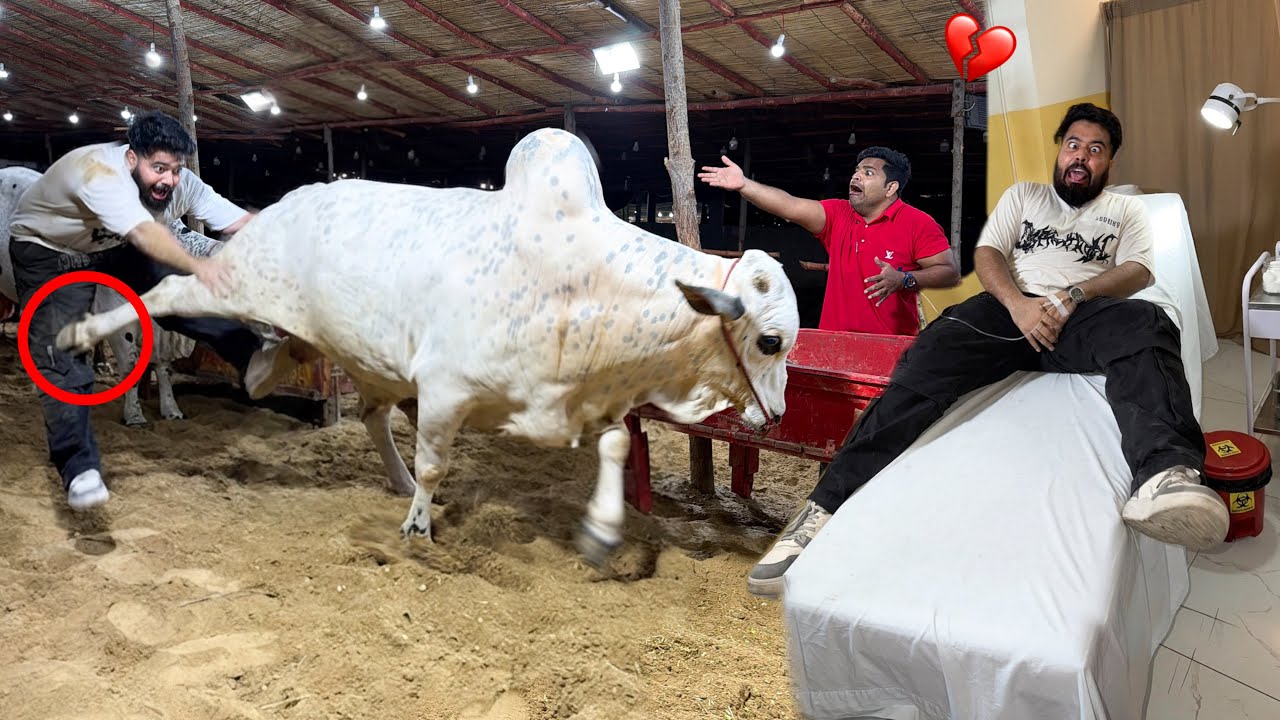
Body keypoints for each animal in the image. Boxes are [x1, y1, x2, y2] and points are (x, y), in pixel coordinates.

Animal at [53, 128, 801, 567]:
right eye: (769, 340)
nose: (777, 415)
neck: (578, 277)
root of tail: (281, 205)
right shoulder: (444, 390)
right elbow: (438, 461)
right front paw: (418, 528)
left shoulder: (582, 401)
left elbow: (617, 447)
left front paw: (602, 532)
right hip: (233, 282)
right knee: (164, 297)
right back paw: (79, 336)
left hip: (369, 361)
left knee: (366, 414)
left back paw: (380, 465)